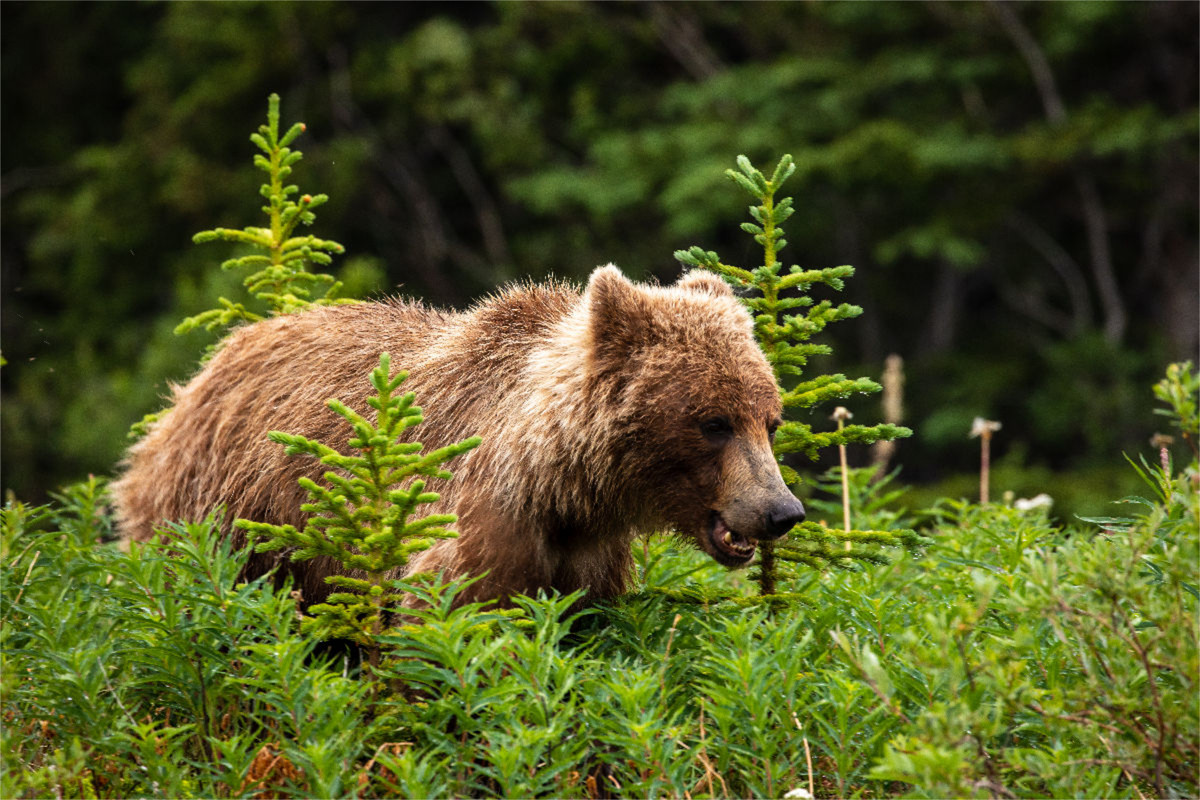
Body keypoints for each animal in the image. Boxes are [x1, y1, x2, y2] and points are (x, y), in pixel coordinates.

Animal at [112, 266, 806, 604]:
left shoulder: (588, 560)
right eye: (713, 422)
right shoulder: (475, 528)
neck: (555, 483)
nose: (782, 510)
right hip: (223, 520)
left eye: (769, 419)